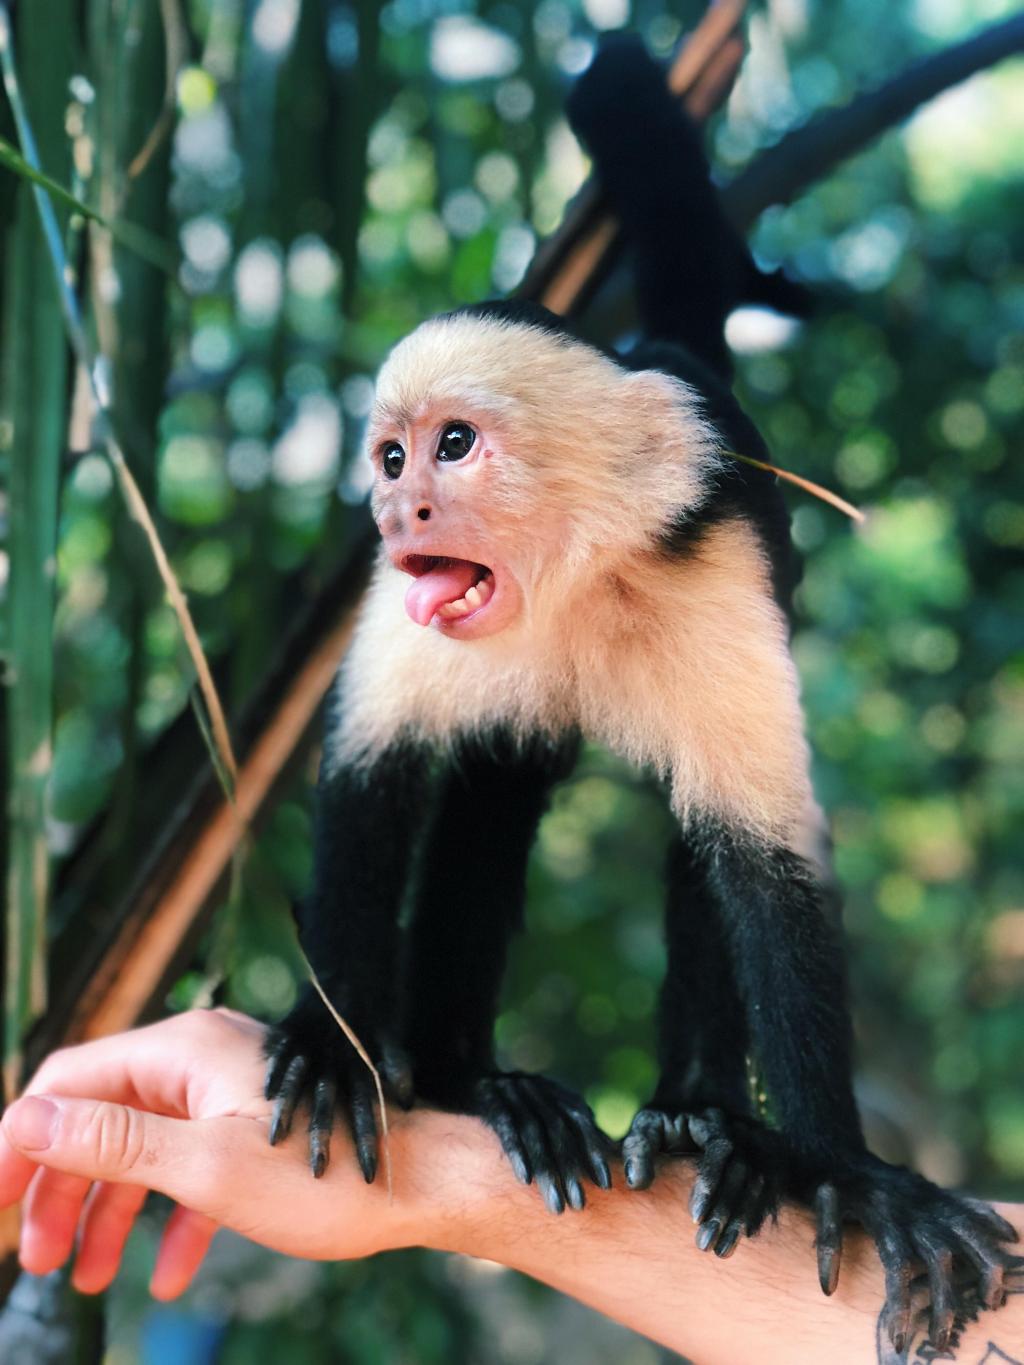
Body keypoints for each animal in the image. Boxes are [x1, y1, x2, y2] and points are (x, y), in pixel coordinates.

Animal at [264, 35, 1017, 1351]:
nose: (397, 510)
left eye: (453, 446)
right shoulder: (409, 613)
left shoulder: (711, 563)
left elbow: (762, 864)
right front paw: (331, 1044)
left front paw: (852, 1175)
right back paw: (475, 1083)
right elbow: (372, 773)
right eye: (391, 456)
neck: (572, 576)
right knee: (491, 797)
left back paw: (705, 1123)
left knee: (698, 832)